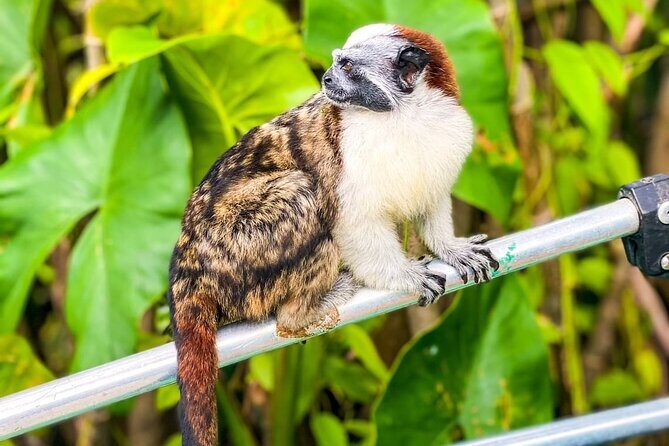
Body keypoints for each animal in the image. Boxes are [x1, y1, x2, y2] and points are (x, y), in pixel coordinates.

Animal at [168, 24, 499, 446]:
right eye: (335, 63)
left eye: (348, 68)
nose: (325, 78)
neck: (407, 119)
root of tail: (188, 259)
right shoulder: (352, 158)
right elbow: (353, 222)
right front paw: (403, 275)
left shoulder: (447, 137)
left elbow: (430, 199)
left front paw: (451, 249)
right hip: (235, 252)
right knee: (303, 194)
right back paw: (301, 312)